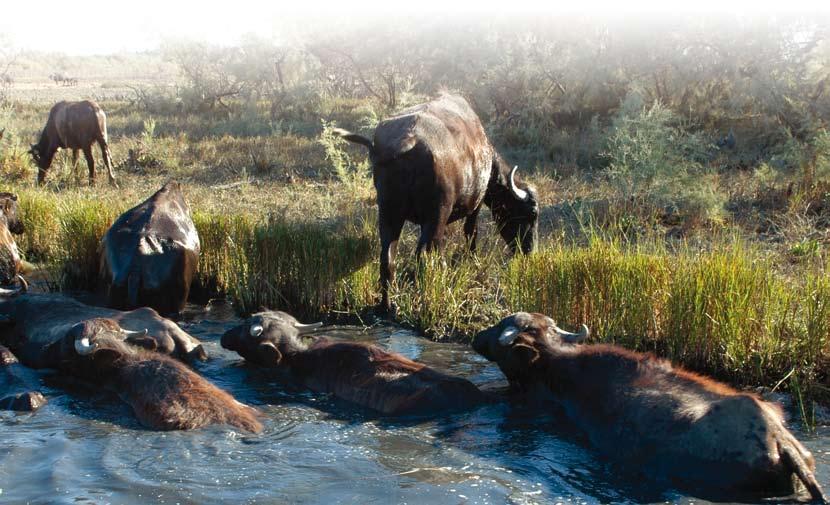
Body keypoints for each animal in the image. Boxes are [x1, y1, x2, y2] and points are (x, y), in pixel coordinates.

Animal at [334, 92, 544, 310]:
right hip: (436, 215)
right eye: (532, 214)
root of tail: (408, 140)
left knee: (387, 258)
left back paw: (387, 305)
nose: (530, 251)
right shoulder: (474, 205)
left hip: (389, 214)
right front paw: (472, 258)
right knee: (423, 256)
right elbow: (470, 232)